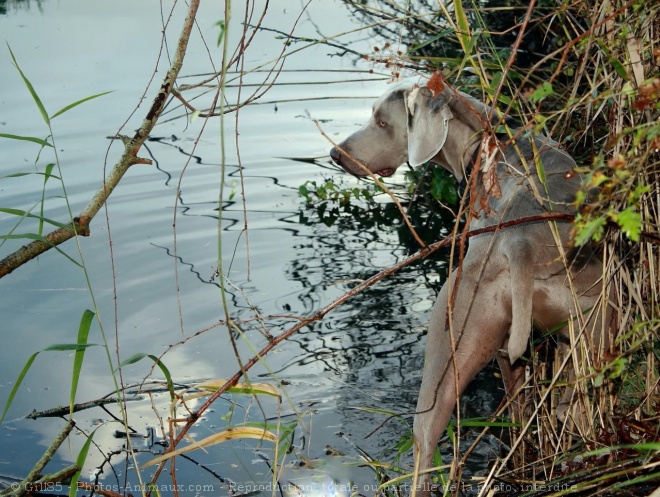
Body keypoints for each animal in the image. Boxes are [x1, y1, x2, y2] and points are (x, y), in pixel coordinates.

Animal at [330, 80, 612, 492]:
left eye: (381, 121)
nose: (335, 154)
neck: (487, 140)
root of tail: (520, 242)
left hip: (454, 334)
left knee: (426, 439)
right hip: (591, 324)